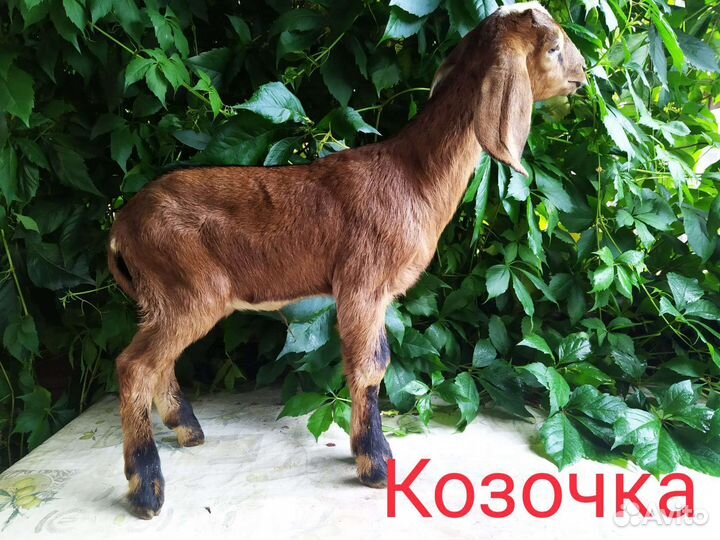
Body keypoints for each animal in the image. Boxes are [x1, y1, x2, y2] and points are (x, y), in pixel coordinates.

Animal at [108, 2, 586, 519]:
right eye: (553, 48)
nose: (582, 75)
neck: (412, 177)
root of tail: (120, 227)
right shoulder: (363, 283)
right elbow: (371, 366)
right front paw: (375, 464)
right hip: (188, 290)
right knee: (134, 366)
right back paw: (146, 487)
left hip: (165, 298)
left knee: (158, 362)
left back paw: (188, 431)